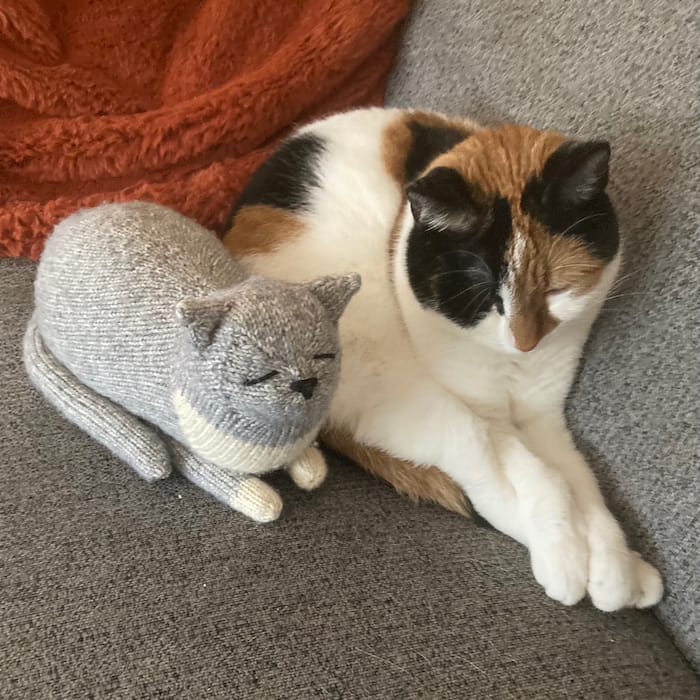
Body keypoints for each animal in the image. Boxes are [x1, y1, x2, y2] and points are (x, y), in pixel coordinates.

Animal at [224, 106, 660, 608]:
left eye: (557, 289)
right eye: (487, 296)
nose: (525, 341)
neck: (512, 366)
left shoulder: (544, 416)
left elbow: (580, 478)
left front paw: (611, 566)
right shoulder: (487, 414)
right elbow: (540, 473)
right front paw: (569, 554)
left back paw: (631, 574)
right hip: (386, 373)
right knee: (473, 457)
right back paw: (565, 562)